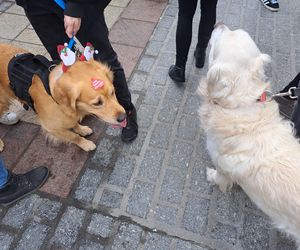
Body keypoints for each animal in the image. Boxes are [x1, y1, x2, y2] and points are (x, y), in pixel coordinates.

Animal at [199, 23, 300, 246]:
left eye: (219, 40)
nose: (219, 23)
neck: (241, 105)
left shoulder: (221, 162)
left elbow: (221, 176)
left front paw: (212, 177)